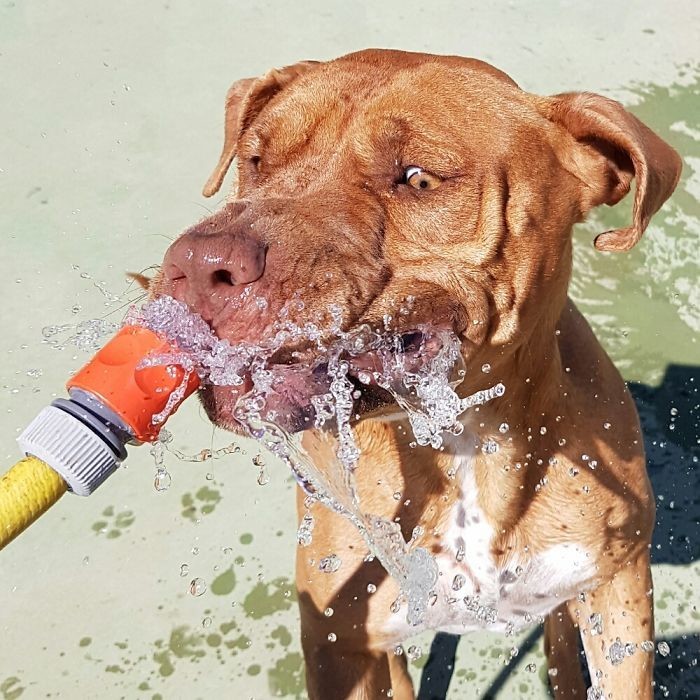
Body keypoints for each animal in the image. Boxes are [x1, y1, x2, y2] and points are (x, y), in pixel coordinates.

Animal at [152, 50, 680, 700]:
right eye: (255, 161)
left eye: (419, 179)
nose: (200, 264)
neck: (467, 446)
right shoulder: (341, 646)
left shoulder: (619, 592)